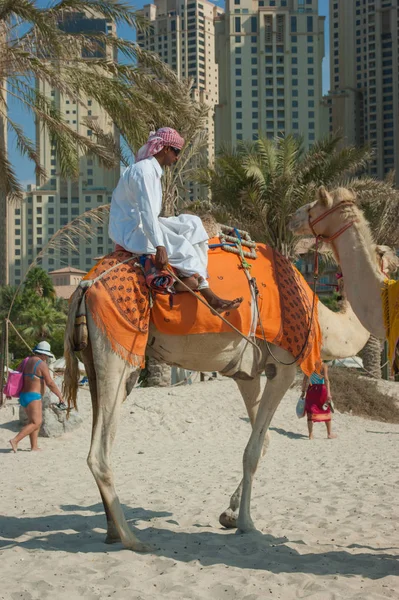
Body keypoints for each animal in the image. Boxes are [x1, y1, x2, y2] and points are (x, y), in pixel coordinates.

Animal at [64, 204, 370, 552]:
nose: (295, 219)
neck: (319, 315)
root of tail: (84, 287)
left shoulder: (247, 374)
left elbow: (262, 442)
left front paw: (230, 513)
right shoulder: (284, 366)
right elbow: (253, 450)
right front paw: (247, 524)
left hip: (95, 358)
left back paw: (112, 532)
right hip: (118, 351)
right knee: (99, 452)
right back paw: (132, 538)